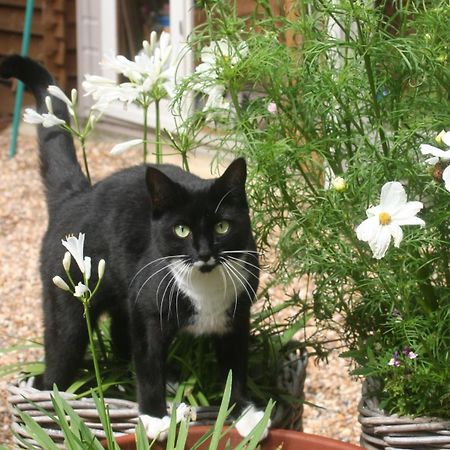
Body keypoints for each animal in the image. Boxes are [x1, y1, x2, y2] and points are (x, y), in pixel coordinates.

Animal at [0, 56, 268, 440]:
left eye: (222, 226)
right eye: (182, 229)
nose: (204, 252)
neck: (205, 286)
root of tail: (77, 194)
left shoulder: (238, 314)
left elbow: (236, 366)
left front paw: (247, 412)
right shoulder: (148, 312)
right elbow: (148, 362)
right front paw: (154, 416)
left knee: (119, 336)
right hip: (68, 304)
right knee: (62, 352)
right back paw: (53, 394)